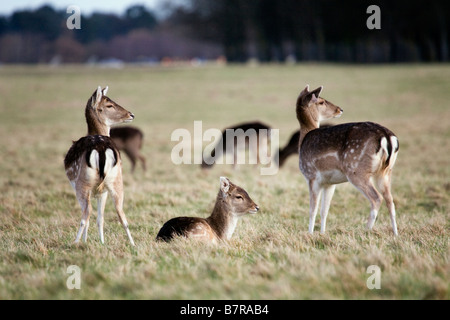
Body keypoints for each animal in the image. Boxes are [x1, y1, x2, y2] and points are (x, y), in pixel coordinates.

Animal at [64, 86, 136, 246]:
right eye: (109, 105)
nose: (131, 114)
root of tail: (101, 149)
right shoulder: (102, 191)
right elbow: (100, 218)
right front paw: (102, 242)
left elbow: (92, 218)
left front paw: (86, 241)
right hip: (116, 180)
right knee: (121, 213)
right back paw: (133, 244)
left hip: (82, 183)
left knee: (86, 213)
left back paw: (75, 243)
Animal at [296, 84, 400, 235]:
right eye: (321, 102)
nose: (340, 109)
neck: (302, 140)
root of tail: (387, 137)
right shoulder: (329, 183)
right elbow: (324, 211)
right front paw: (322, 234)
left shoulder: (311, 176)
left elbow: (312, 210)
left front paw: (310, 234)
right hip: (386, 171)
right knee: (390, 200)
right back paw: (395, 234)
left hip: (356, 170)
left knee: (376, 198)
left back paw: (366, 230)